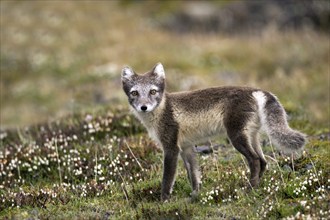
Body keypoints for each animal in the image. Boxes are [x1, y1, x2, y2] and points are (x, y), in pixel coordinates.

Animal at [121, 62, 306, 201]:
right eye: (134, 93)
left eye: (153, 91)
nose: (143, 107)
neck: (161, 110)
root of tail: (257, 91)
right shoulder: (186, 147)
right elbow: (194, 175)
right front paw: (195, 196)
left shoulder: (171, 148)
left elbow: (167, 180)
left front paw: (163, 201)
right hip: (251, 136)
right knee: (263, 161)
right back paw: (256, 187)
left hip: (236, 137)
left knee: (254, 161)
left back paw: (248, 190)